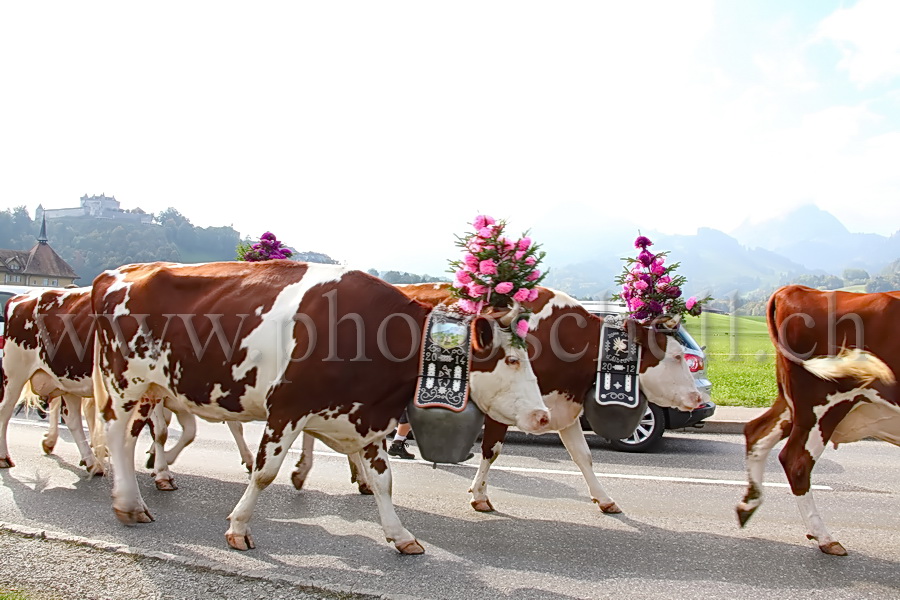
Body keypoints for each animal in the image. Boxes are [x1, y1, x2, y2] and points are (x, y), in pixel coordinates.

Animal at [89, 262, 548, 552]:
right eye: (512, 359)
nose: (542, 416)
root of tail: (116, 272)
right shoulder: (287, 408)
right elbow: (264, 472)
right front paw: (238, 528)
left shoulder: (368, 419)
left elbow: (384, 482)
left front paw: (401, 536)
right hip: (124, 381)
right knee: (114, 433)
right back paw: (129, 502)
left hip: (150, 389)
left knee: (129, 440)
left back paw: (137, 494)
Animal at [290, 284, 704, 512]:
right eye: (677, 357)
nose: (697, 398)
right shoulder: (502, 406)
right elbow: (492, 450)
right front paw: (479, 497)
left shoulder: (561, 407)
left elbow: (584, 457)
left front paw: (604, 500)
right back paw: (307, 470)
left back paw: (351, 477)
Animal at [740, 284, 900, 556]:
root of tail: (795, 289)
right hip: (822, 404)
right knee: (796, 461)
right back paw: (825, 538)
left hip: (792, 405)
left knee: (757, 433)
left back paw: (747, 506)